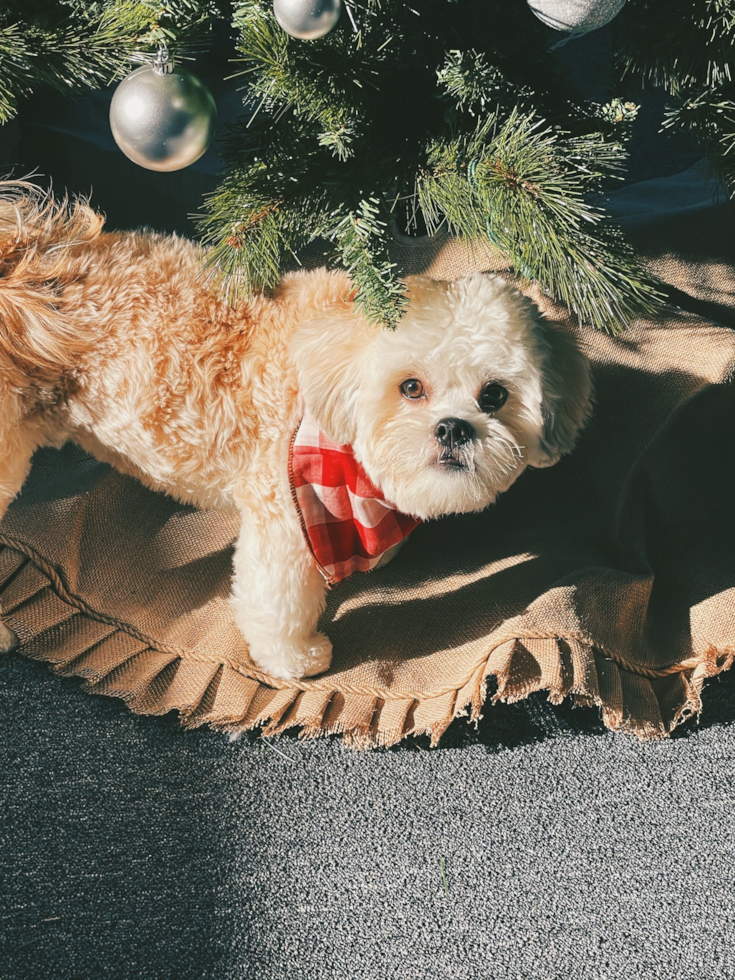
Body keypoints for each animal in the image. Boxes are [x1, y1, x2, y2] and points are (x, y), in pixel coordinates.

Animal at [0, 180, 592, 676]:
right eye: (410, 387)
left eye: (494, 395)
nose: (452, 429)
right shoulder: (284, 520)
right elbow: (276, 602)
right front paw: (295, 658)